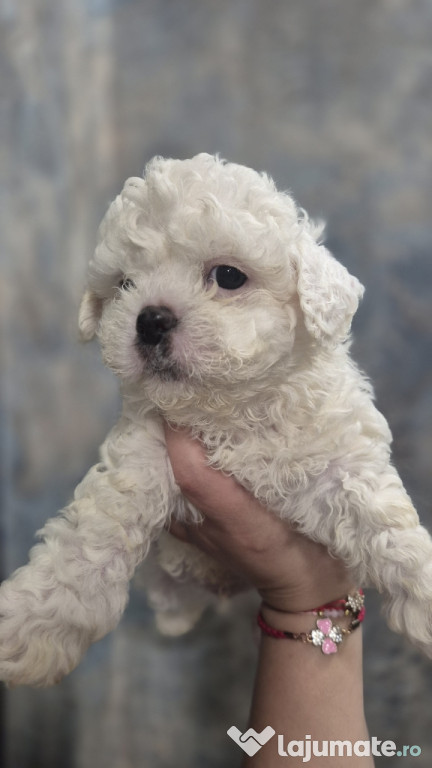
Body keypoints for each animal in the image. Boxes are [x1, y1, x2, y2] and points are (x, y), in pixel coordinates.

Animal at [0, 154, 432, 684]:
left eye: (228, 276)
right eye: (124, 284)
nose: (150, 320)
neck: (229, 411)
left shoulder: (337, 456)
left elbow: (381, 518)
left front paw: (423, 592)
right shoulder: (143, 453)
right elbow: (91, 541)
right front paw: (34, 624)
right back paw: (175, 613)